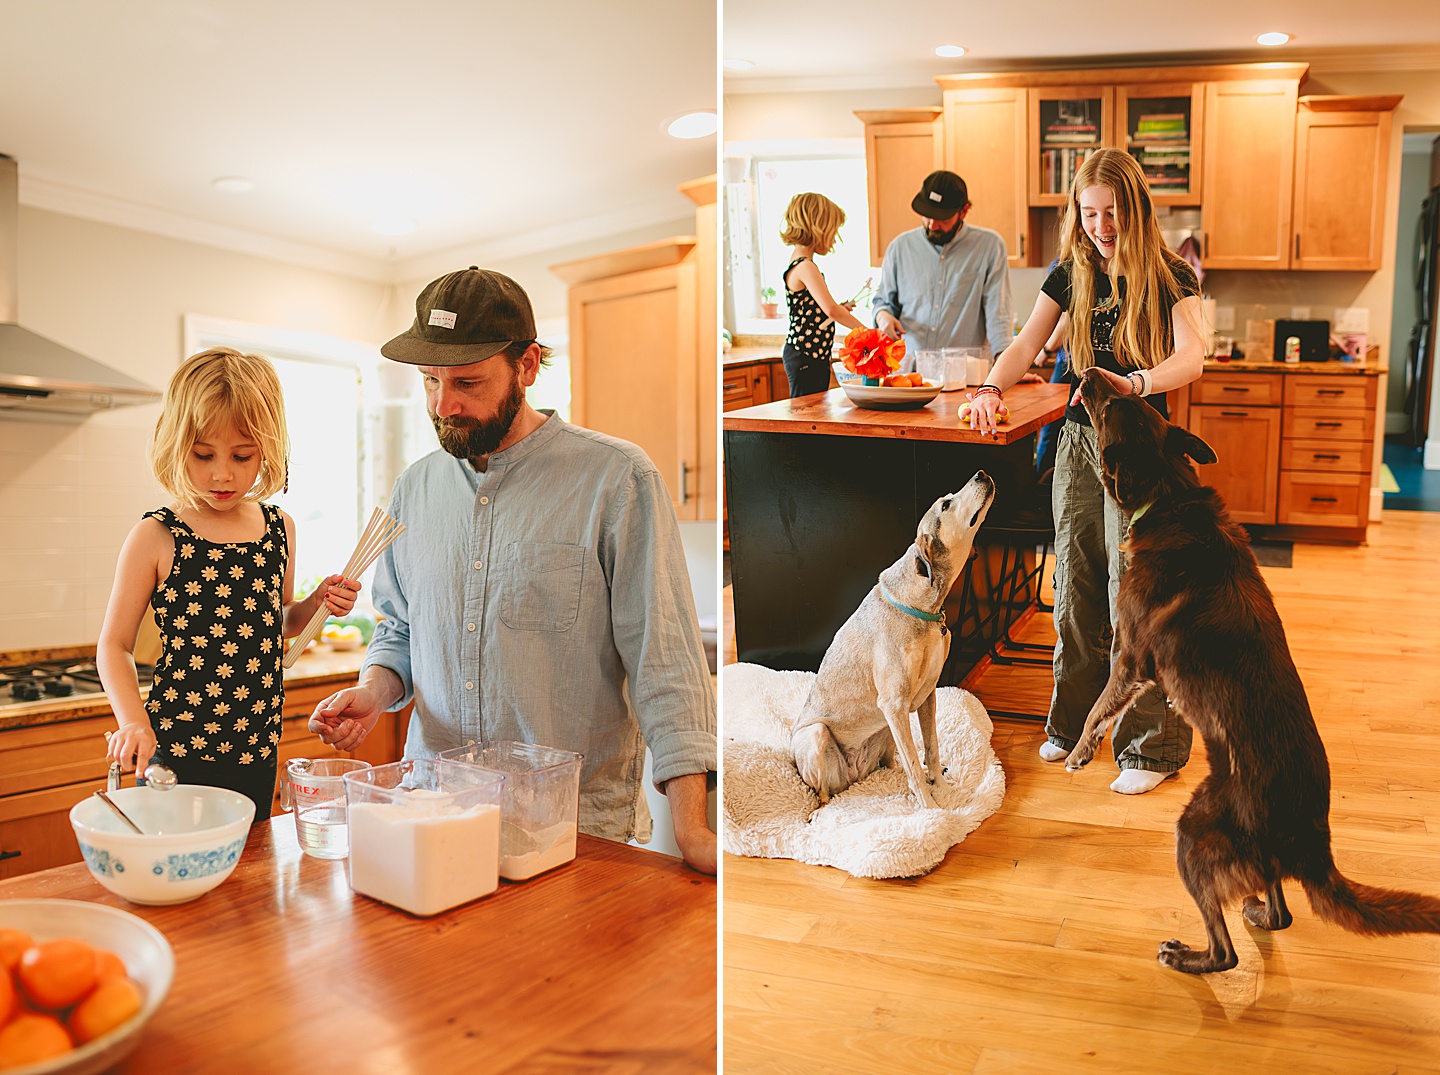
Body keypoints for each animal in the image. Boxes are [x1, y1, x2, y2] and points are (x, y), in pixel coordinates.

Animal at [794, 472, 996, 805]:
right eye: (946, 504)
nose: (981, 474)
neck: (923, 608)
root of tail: (852, 778)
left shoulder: (926, 696)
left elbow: (931, 748)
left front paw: (941, 790)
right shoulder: (895, 703)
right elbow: (916, 762)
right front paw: (931, 808)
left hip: (885, 729)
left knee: (890, 763)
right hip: (818, 735)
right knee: (823, 794)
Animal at [1071, 371, 1440, 972]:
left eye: (1110, 408)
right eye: (1123, 398)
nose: (1088, 373)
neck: (1170, 495)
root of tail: (1313, 844)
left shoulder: (1129, 656)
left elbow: (1098, 708)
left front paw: (1078, 753)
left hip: (1194, 832)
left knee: (1227, 953)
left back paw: (1187, 956)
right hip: (1243, 854)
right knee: (1281, 908)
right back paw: (1261, 914)